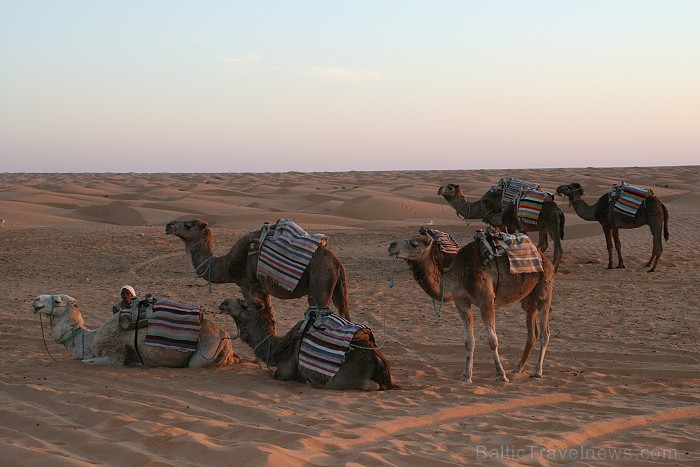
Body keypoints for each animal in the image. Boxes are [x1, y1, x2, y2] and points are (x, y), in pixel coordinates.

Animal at [165, 219, 350, 322]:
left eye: (188, 225)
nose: (168, 225)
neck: (227, 265)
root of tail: (336, 263)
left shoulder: (248, 285)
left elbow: (259, 310)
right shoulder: (263, 289)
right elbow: (269, 315)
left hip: (320, 283)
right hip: (337, 288)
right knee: (345, 314)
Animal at [216, 298, 396, 394]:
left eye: (245, 305)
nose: (224, 303)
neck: (279, 348)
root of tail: (376, 356)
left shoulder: (284, 371)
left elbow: (274, 374)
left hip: (340, 380)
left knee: (370, 385)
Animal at [386, 229, 556, 384]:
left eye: (415, 243)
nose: (391, 245)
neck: (460, 275)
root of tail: (545, 259)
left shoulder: (487, 301)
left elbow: (492, 340)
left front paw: (501, 375)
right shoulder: (461, 303)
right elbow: (469, 341)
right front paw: (466, 376)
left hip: (544, 290)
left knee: (544, 332)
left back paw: (537, 371)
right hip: (527, 299)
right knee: (532, 332)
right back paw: (517, 368)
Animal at [440, 183, 568, 270]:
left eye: (450, 187)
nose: (439, 189)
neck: (480, 207)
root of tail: (558, 210)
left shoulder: (509, 224)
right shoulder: (508, 225)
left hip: (552, 225)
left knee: (557, 249)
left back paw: (553, 270)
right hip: (543, 226)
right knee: (544, 243)